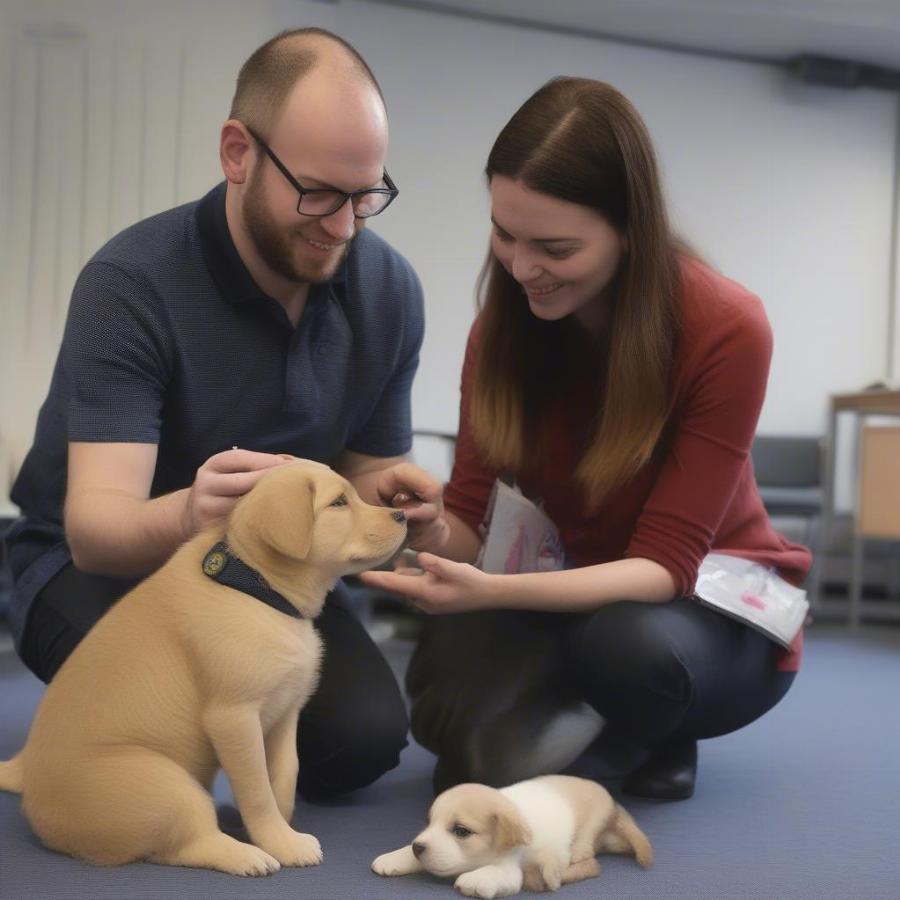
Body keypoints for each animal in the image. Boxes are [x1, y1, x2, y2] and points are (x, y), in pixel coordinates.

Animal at [0, 460, 408, 876]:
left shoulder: (284, 713)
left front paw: (280, 829)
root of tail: (26, 776)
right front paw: (279, 842)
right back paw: (244, 855)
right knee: (184, 844)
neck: (257, 587)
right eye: (339, 502)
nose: (402, 513)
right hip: (164, 783)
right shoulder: (233, 718)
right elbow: (258, 790)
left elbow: (283, 774)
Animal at [372, 776, 652, 896]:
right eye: (429, 823)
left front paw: (476, 879)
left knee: (588, 864)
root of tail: (615, 805)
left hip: (584, 838)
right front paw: (396, 857)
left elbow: (497, 873)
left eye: (461, 831)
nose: (419, 848)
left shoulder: (509, 867)